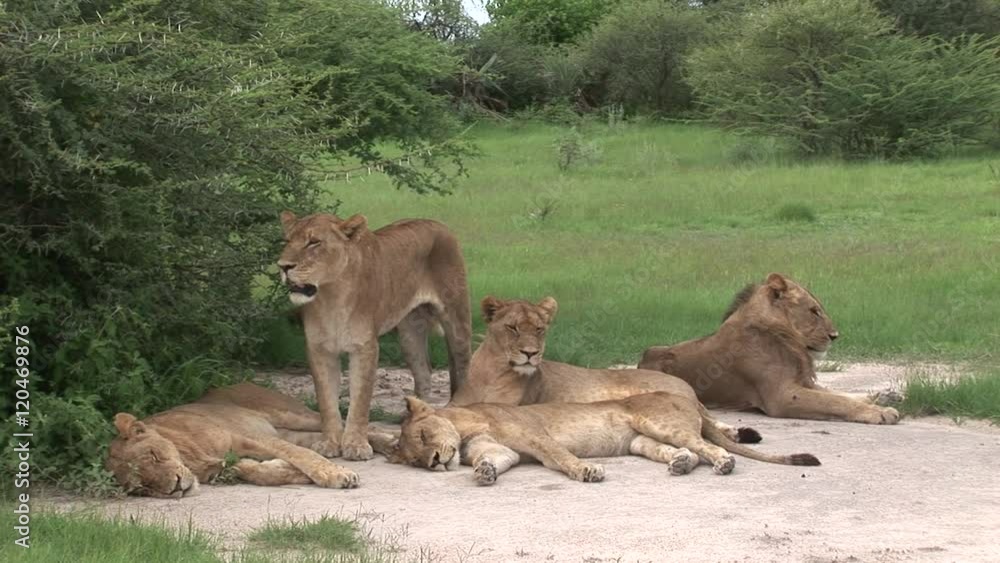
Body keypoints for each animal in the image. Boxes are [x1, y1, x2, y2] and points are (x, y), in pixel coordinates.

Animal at [105, 383, 397, 497]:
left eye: (154, 455)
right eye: (142, 487)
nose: (176, 487)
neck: (191, 458)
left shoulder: (250, 436)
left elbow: (303, 456)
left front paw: (336, 475)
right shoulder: (227, 463)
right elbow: (261, 473)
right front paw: (290, 472)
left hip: (291, 415)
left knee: (351, 425)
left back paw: (390, 442)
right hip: (290, 430)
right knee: (323, 439)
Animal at [277, 212, 472, 460]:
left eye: (314, 242)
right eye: (287, 241)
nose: (283, 266)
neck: (331, 297)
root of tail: (436, 223)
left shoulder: (365, 347)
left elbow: (360, 400)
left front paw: (357, 446)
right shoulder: (319, 349)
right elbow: (326, 401)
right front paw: (329, 443)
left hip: (457, 321)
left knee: (463, 366)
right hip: (409, 335)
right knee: (424, 373)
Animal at [449, 296, 762, 445]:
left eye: (539, 329)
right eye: (512, 328)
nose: (531, 353)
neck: (493, 371)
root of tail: (683, 384)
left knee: (709, 420)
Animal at [639, 273, 899, 424]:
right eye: (814, 311)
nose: (835, 336)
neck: (786, 338)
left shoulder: (802, 382)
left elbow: (836, 393)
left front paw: (879, 399)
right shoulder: (781, 396)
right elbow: (834, 402)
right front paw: (880, 412)